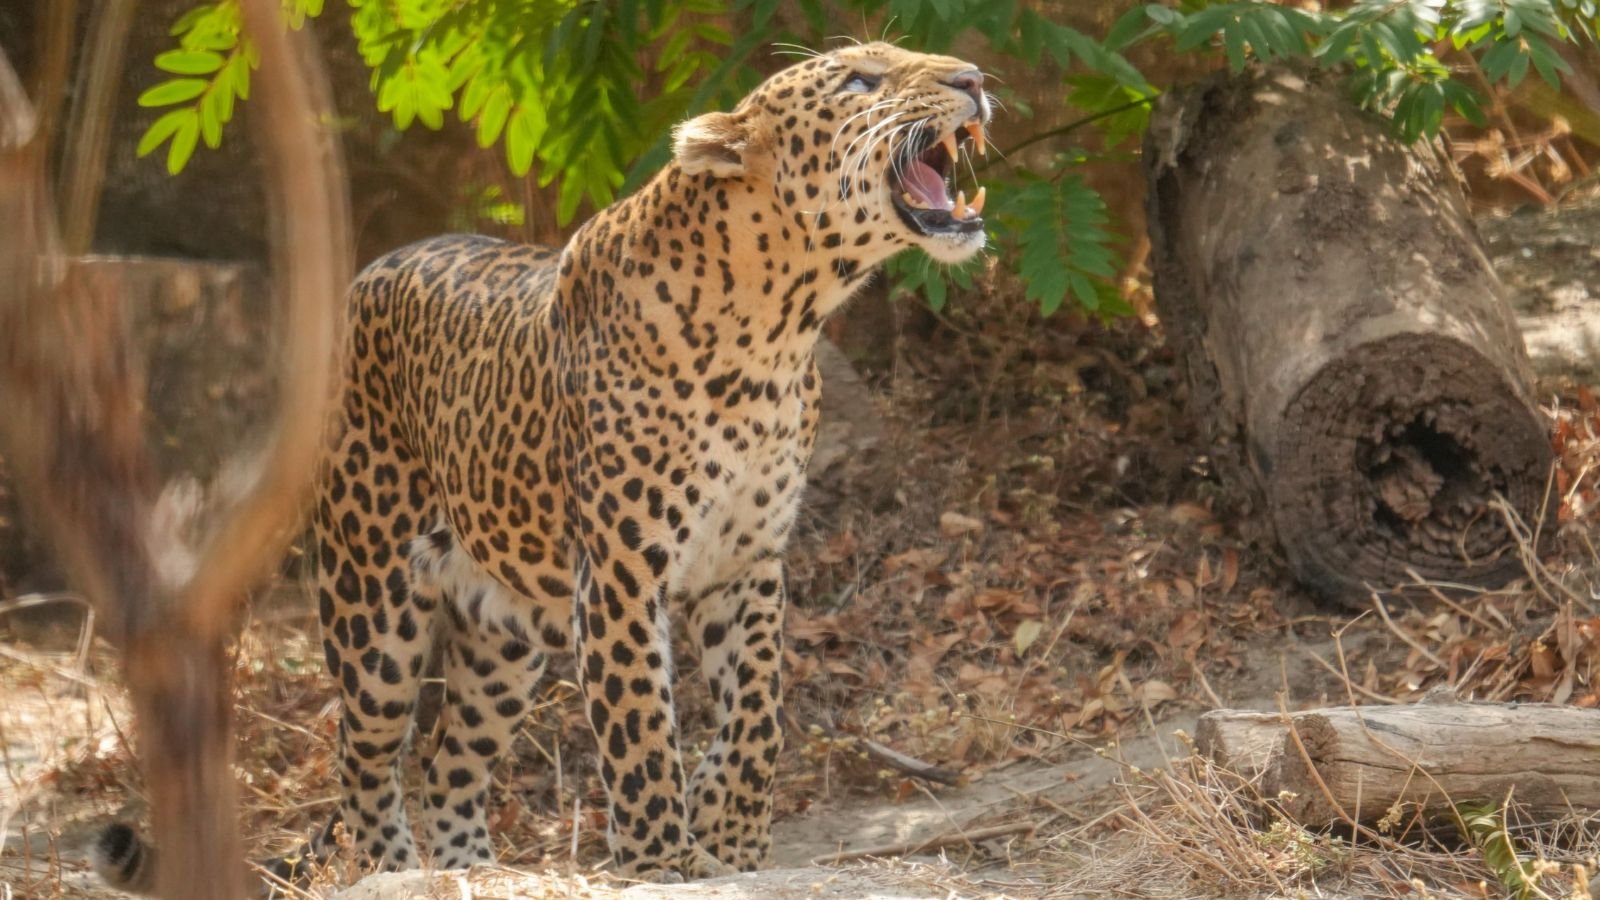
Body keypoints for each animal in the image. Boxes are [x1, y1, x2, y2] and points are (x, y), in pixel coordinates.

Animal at [94, 40, 992, 890]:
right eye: (860, 81)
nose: (976, 78)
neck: (777, 328)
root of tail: (364, 276)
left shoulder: (748, 560)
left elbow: (758, 710)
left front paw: (729, 830)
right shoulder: (624, 571)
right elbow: (641, 724)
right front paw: (662, 858)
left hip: (506, 641)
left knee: (447, 764)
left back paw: (474, 870)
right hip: (372, 604)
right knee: (366, 755)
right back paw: (394, 868)